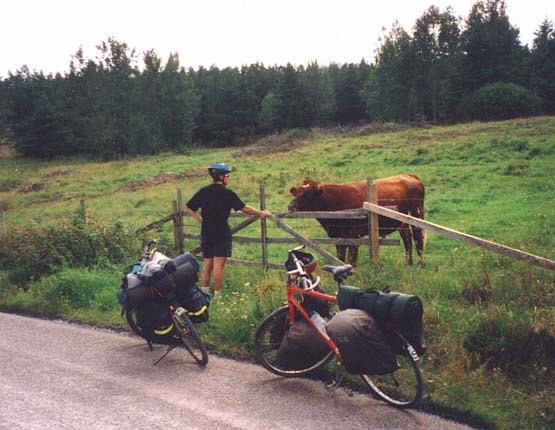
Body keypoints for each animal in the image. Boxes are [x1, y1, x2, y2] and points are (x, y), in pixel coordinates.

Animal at [288, 174, 424, 266]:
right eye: (297, 192)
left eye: (307, 194)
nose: (291, 206)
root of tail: (409, 175)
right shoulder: (338, 237)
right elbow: (341, 257)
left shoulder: (355, 236)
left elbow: (352, 259)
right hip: (402, 223)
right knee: (407, 240)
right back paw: (408, 264)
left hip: (416, 215)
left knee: (418, 238)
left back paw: (419, 263)